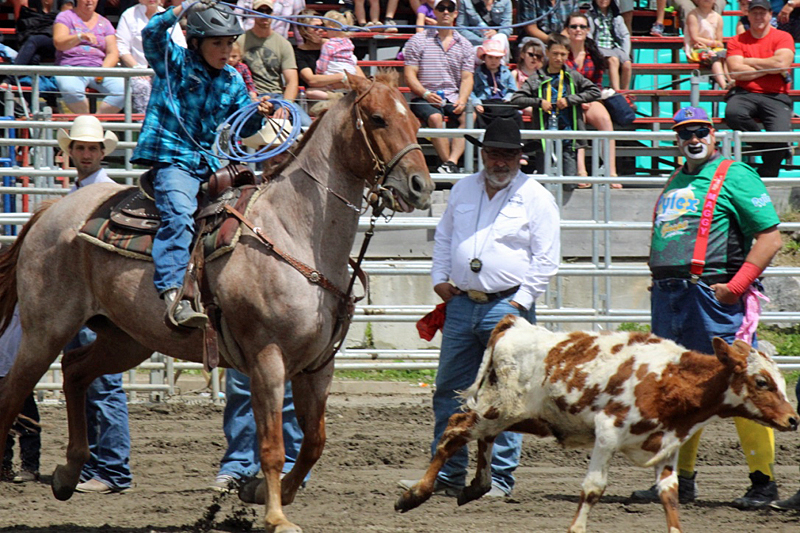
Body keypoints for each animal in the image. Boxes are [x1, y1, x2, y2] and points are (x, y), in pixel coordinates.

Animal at [0, 71, 432, 532]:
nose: (421, 186)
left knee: (76, 371)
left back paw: (68, 473)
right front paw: (276, 516)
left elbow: (314, 441)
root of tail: (50, 211)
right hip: (45, 331)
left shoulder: (318, 365)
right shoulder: (267, 358)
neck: (295, 233)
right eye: (378, 118)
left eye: (414, 122)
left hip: (126, 340)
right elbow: (273, 446)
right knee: (14, 392)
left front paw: (258, 491)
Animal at [396, 316, 796, 532]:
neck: (668, 380)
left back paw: (475, 487)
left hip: (517, 415)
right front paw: (576, 526)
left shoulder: (666, 446)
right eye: (762, 382)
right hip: (499, 406)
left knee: (483, 437)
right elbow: (593, 488)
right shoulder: (607, 434)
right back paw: (415, 494)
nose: (792, 419)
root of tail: (516, 325)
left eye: (779, 380)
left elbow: (669, 496)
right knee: (455, 428)